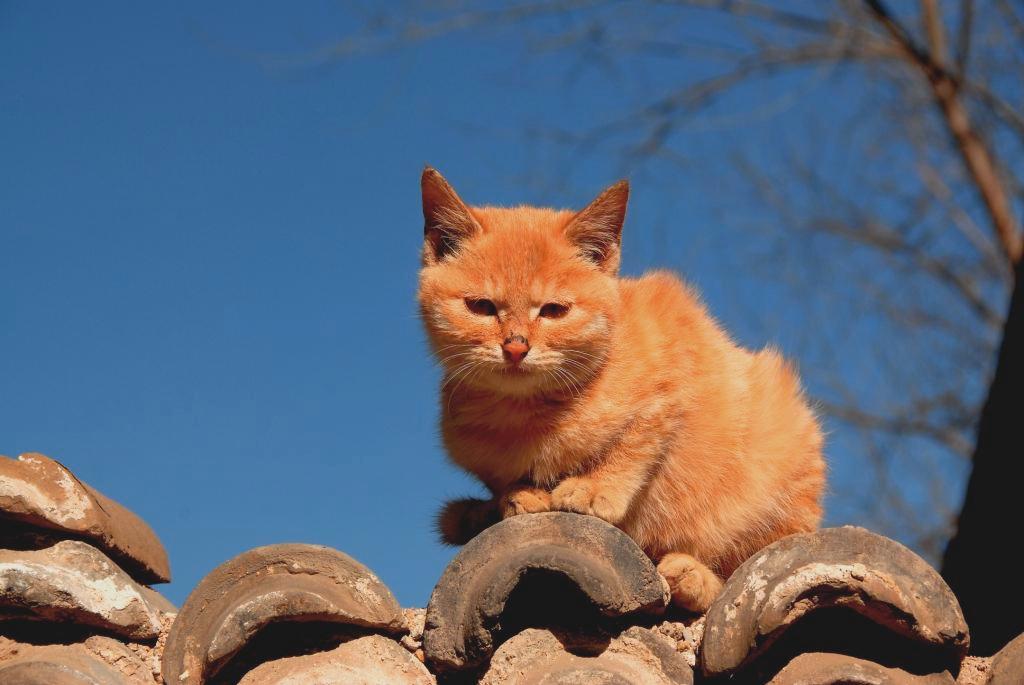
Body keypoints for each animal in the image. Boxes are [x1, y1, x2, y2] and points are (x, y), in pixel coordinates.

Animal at [419, 165, 827, 610]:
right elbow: (502, 479)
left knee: (749, 560)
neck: (530, 413)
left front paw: (595, 487)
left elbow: (637, 441)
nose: (515, 347)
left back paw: (692, 575)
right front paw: (516, 494)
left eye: (554, 310)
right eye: (481, 307)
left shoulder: (677, 359)